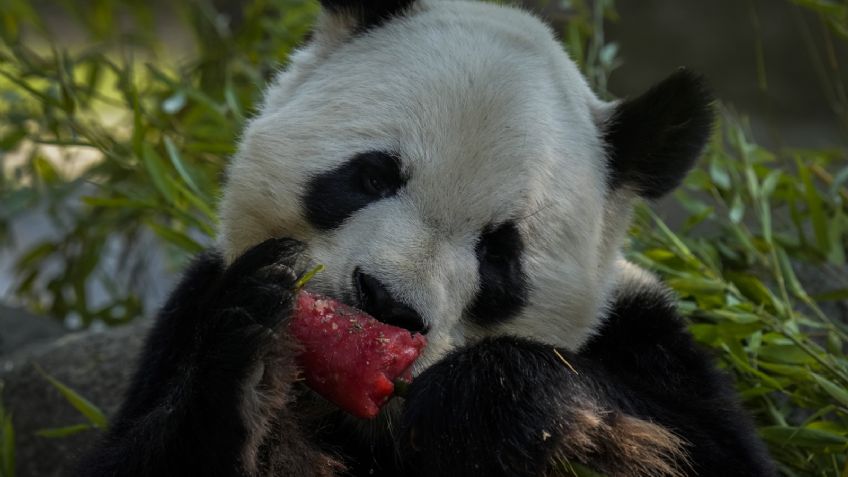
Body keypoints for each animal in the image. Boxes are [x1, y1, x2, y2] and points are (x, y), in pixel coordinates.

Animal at [78, 0, 776, 476]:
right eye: (372, 176)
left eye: (499, 252)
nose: (387, 301)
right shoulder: (189, 312)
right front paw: (253, 351)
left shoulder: (648, 338)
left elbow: (699, 444)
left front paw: (489, 399)